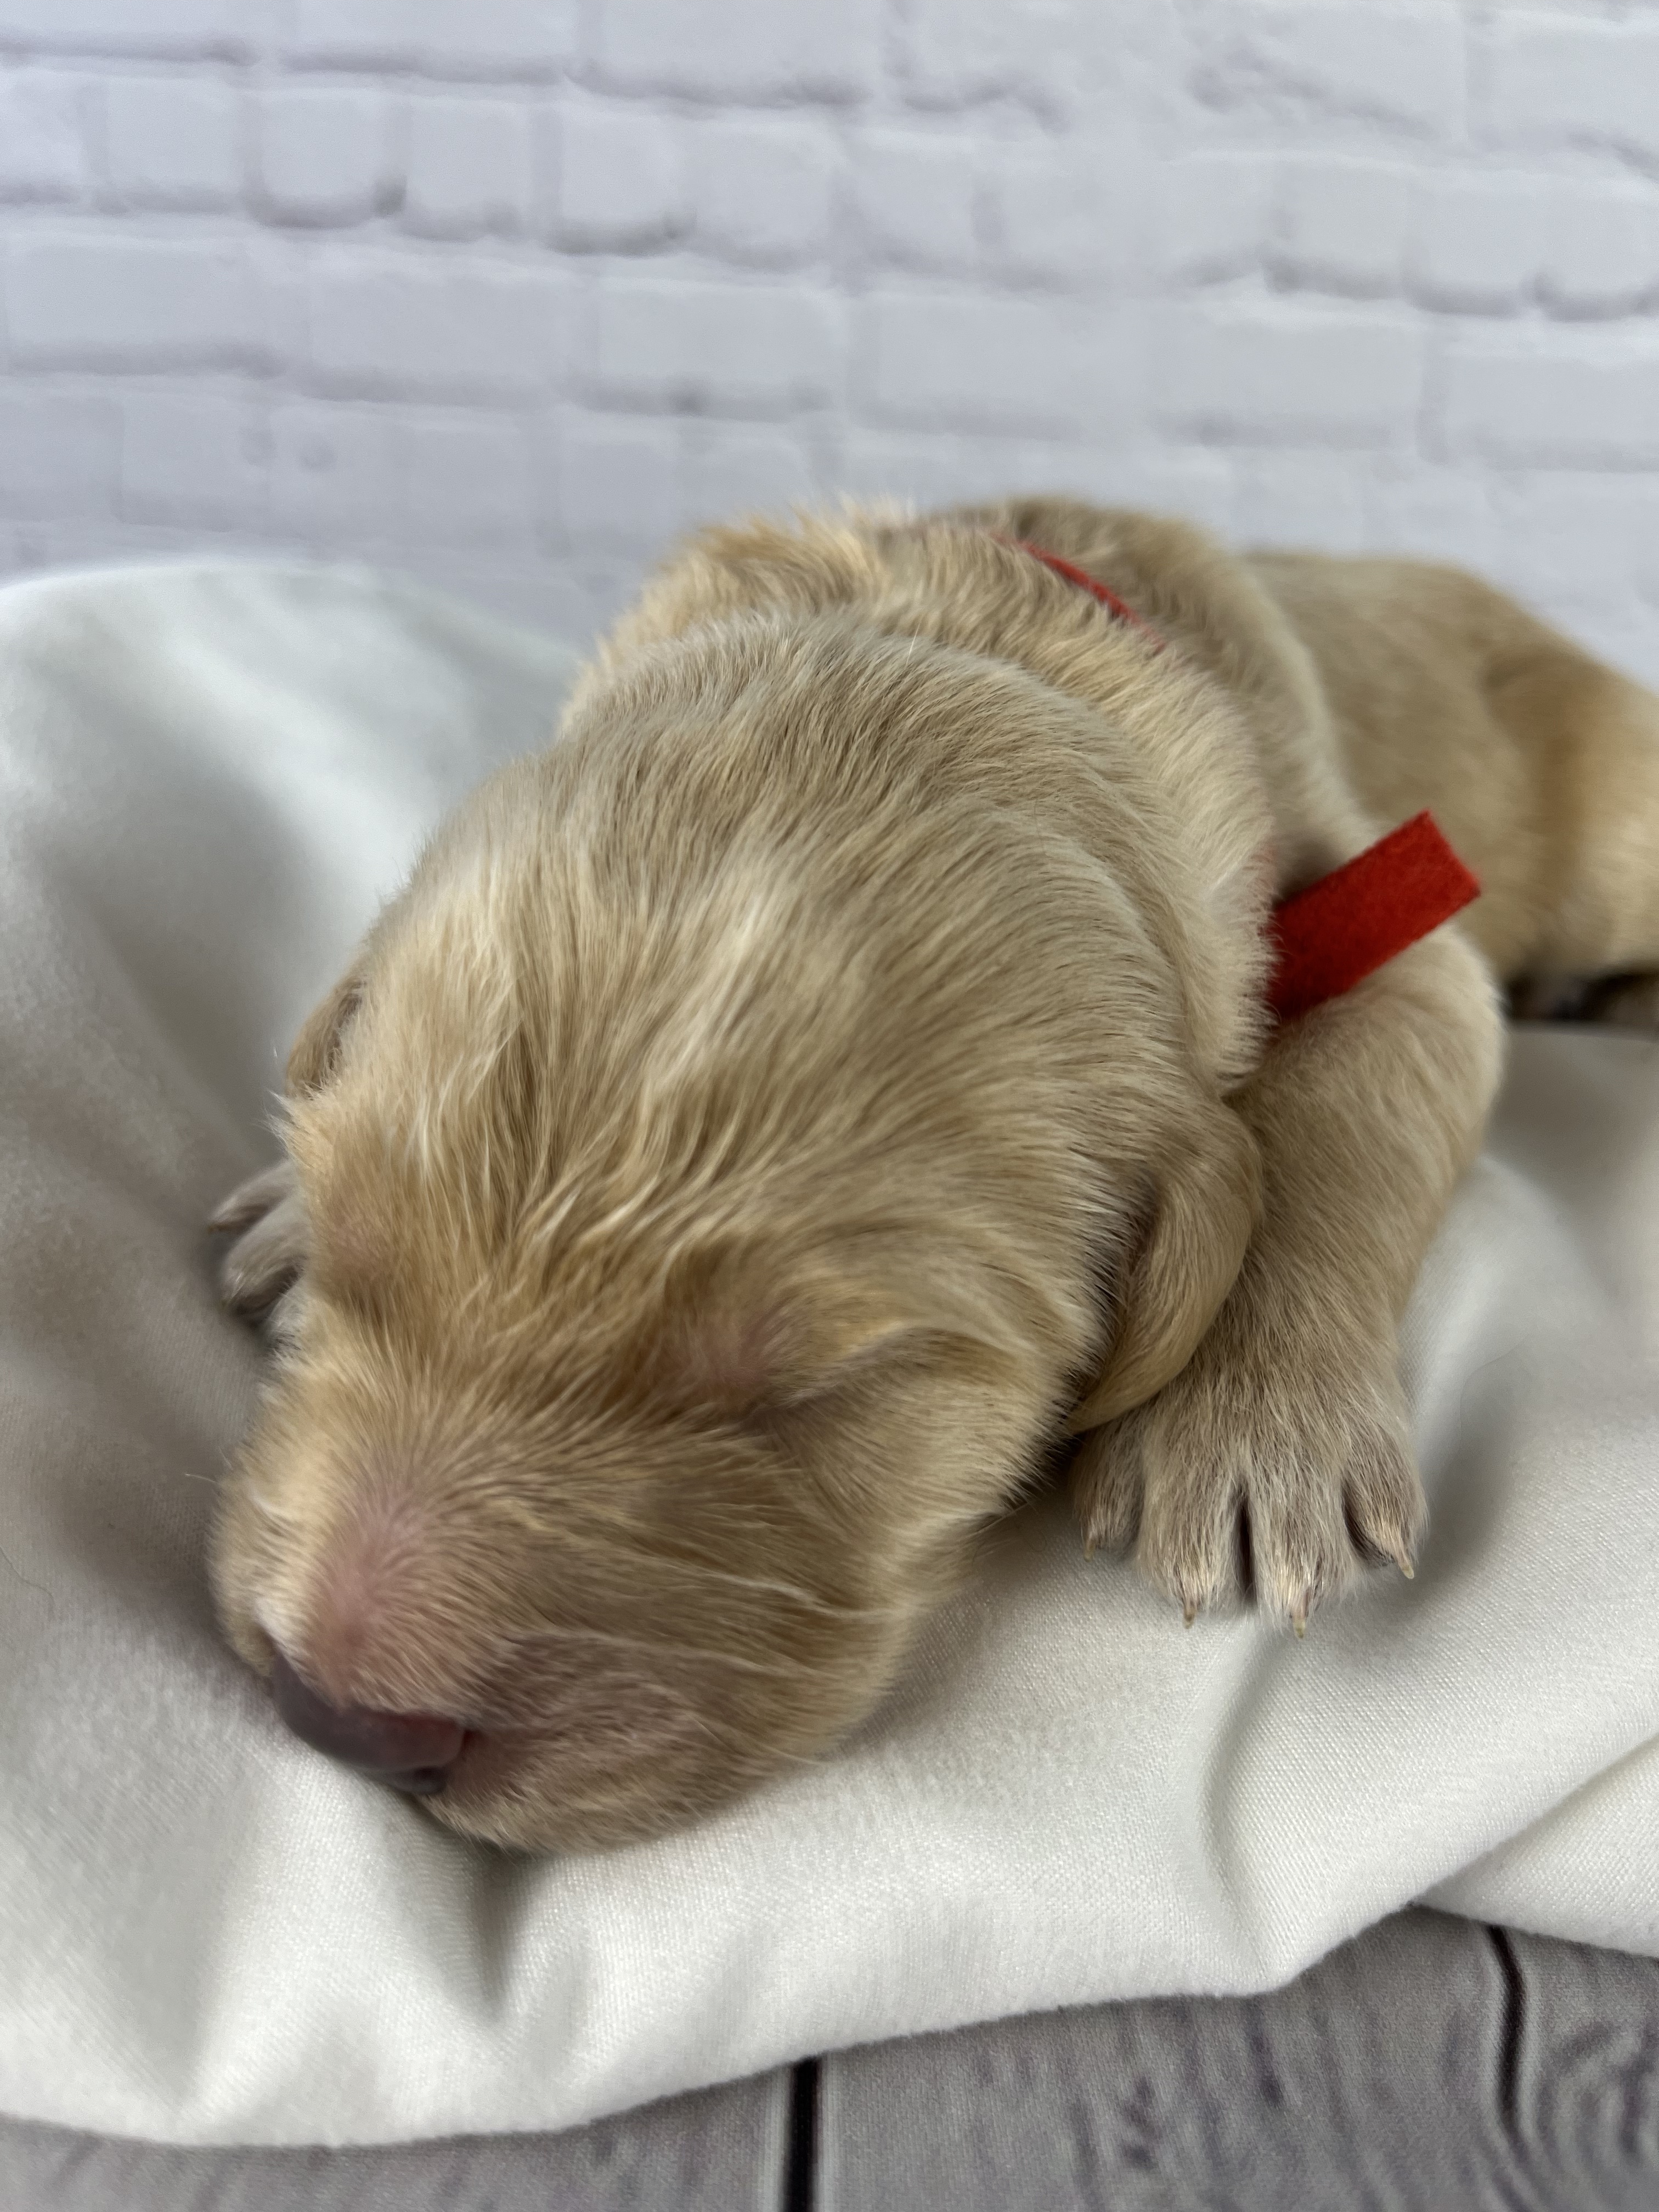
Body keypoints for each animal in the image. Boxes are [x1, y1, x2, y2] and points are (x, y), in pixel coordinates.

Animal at [209, 498, 1659, 1850]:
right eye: (352, 1256)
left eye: (820, 1394)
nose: (339, 1721)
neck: (947, 638)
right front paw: (278, 1214)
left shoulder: (1396, 920)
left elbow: (1345, 1118)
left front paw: (1254, 1427)